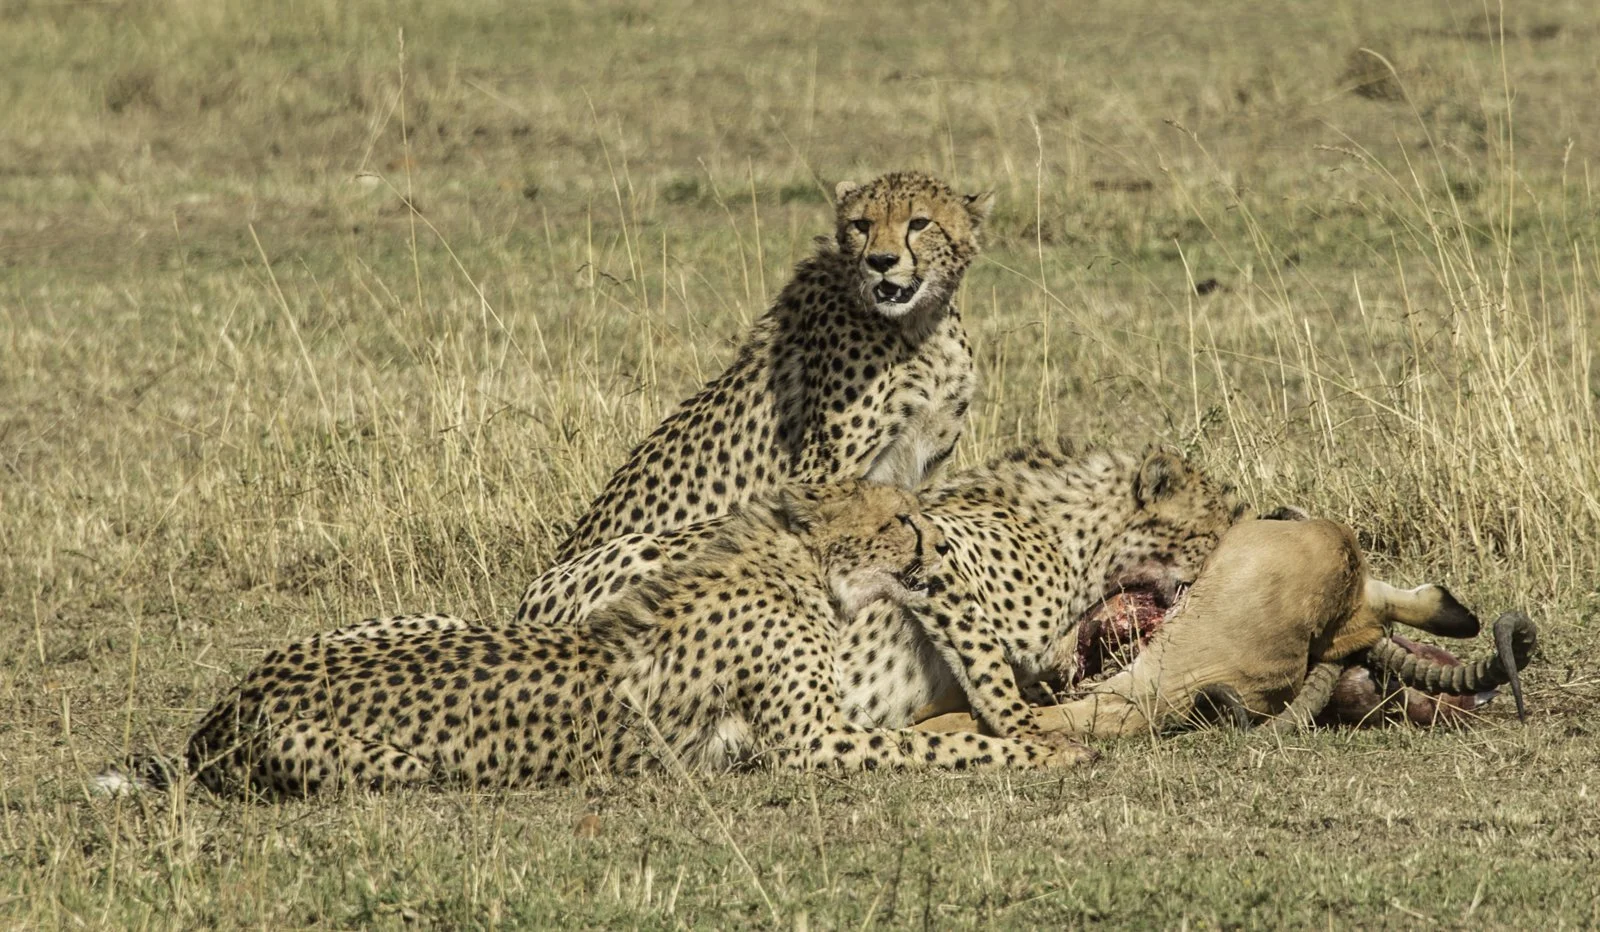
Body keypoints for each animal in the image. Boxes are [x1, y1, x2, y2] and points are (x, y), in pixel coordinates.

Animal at [164, 483, 1086, 797]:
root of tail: (222, 710)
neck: (794, 561)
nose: (935, 545)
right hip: (400, 764)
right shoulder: (811, 742)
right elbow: (942, 748)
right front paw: (1040, 751)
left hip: (436, 617)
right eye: (898, 518)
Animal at [553, 170, 993, 561]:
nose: (880, 261)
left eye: (919, 223)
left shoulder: (927, 465)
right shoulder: (821, 473)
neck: (920, 326)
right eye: (861, 224)